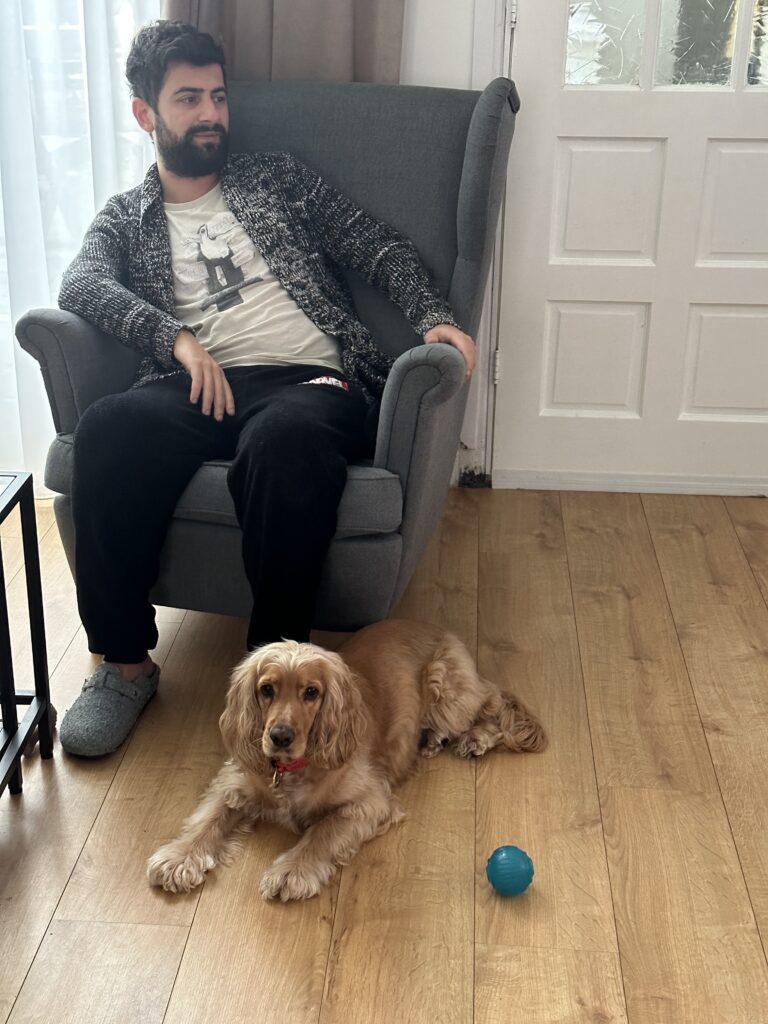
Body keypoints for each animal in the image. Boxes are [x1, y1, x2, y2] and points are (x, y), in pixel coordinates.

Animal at [147, 619, 546, 902]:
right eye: (266, 689)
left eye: (311, 692)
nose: (280, 737)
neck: (294, 769)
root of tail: (442, 629)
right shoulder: (235, 782)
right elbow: (206, 820)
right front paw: (178, 859)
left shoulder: (369, 801)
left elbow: (322, 832)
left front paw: (291, 871)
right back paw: (432, 741)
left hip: (446, 691)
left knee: (491, 703)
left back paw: (475, 738)